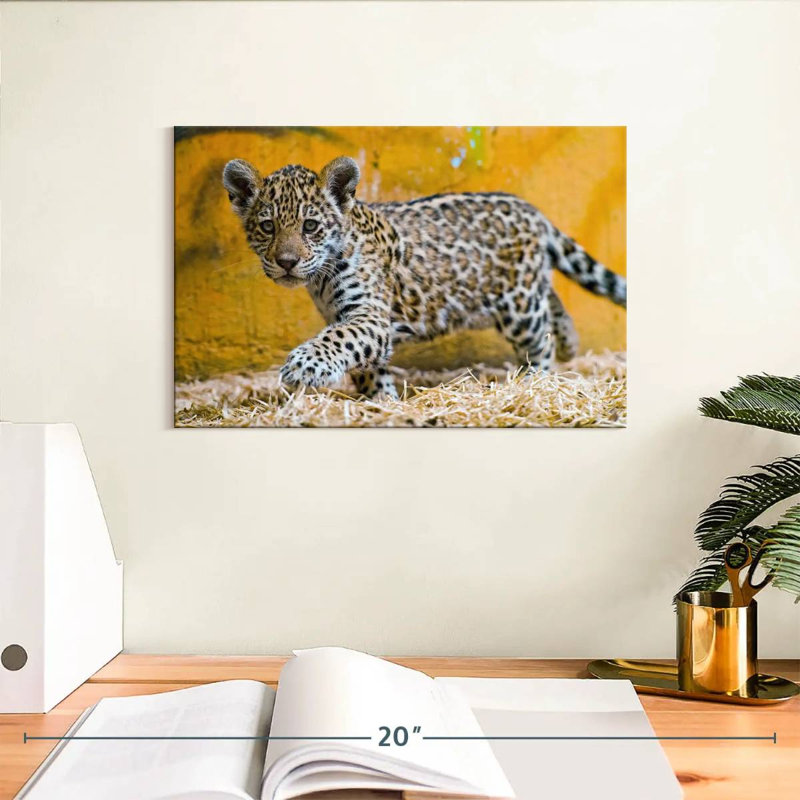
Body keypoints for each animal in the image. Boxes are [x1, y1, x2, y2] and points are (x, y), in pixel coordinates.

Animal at [222, 156, 626, 399]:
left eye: (310, 226)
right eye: (267, 227)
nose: (287, 262)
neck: (320, 277)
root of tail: (532, 211)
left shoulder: (368, 315)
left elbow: (340, 339)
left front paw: (303, 366)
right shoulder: (351, 318)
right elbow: (365, 362)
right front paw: (381, 402)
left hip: (519, 306)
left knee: (539, 340)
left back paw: (535, 383)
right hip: (529, 289)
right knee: (553, 300)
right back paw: (570, 343)